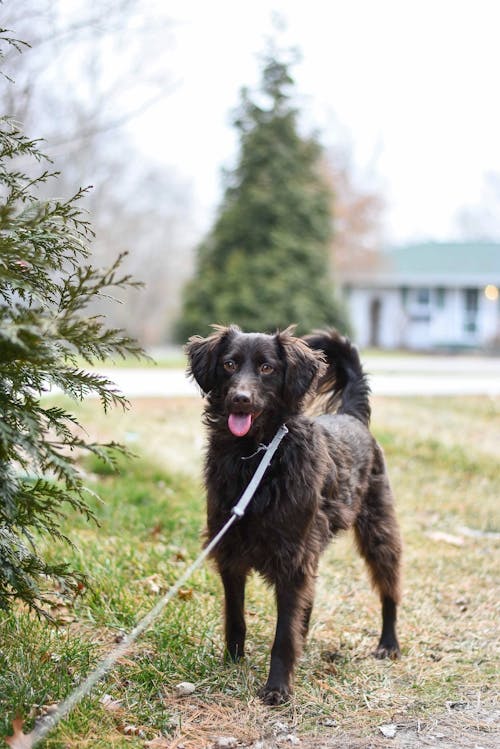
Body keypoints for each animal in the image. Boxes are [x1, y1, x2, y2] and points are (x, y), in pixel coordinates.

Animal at [187, 324, 402, 704]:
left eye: (267, 368)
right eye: (229, 364)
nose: (240, 399)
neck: (256, 456)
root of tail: (350, 415)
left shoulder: (292, 557)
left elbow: (283, 635)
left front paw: (277, 687)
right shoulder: (229, 551)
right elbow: (235, 618)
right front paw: (232, 662)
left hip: (378, 529)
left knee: (389, 586)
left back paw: (388, 643)